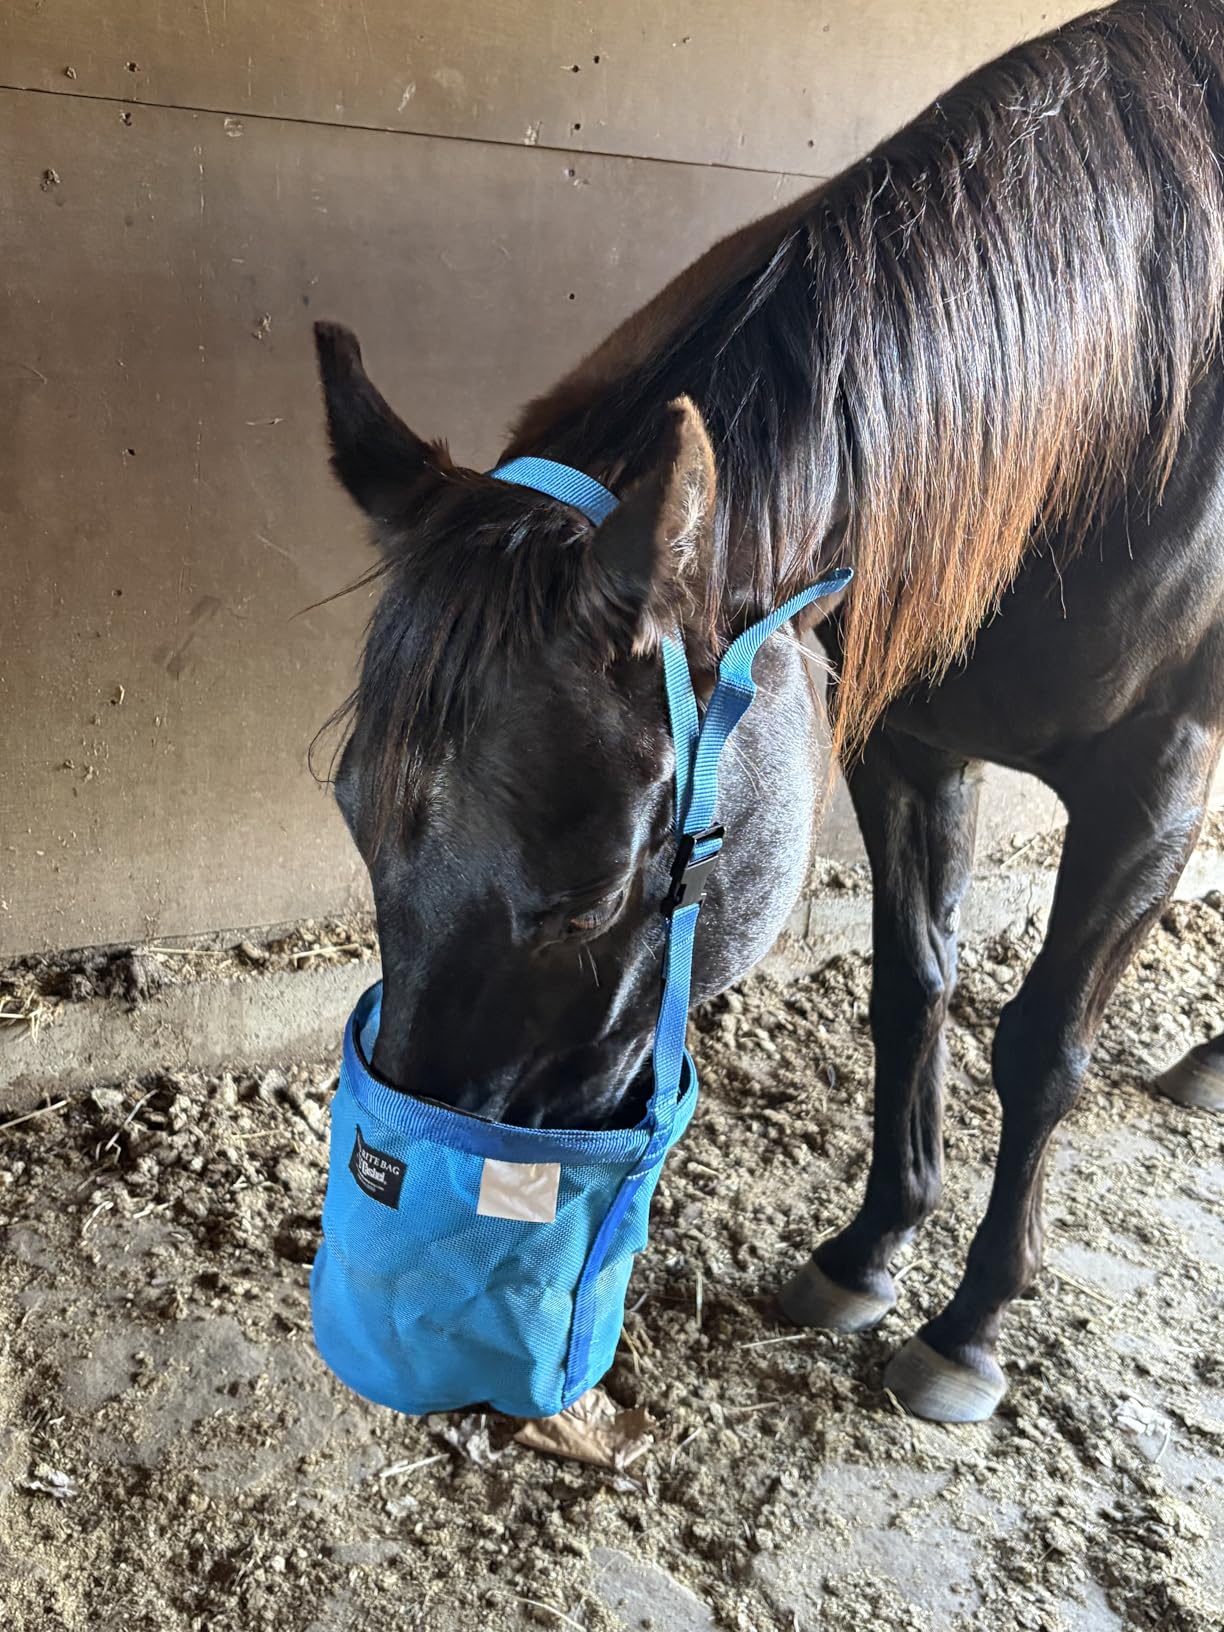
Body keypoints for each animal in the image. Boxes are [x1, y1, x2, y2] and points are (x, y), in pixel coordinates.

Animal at [311, 0, 1224, 1423]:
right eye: (356, 826)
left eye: (586, 903)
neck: (1125, 408)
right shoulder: (915, 750)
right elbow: (914, 989)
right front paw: (867, 1254)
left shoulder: (1152, 792)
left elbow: (1042, 1049)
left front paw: (968, 1329)